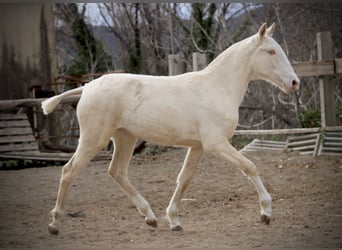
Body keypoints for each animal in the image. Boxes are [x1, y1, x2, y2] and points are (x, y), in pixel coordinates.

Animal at [42, 23, 300, 234]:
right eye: (271, 52)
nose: (294, 82)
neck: (216, 88)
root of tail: (87, 87)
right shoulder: (215, 144)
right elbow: (250, 166)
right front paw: (266, 213)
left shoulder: (198, 147)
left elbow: (183, 179)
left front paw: (174, 220)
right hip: (94, 139)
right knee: (69, 171)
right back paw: (54, 223)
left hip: (125, 138)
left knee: (117, 171)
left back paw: (150, 217)